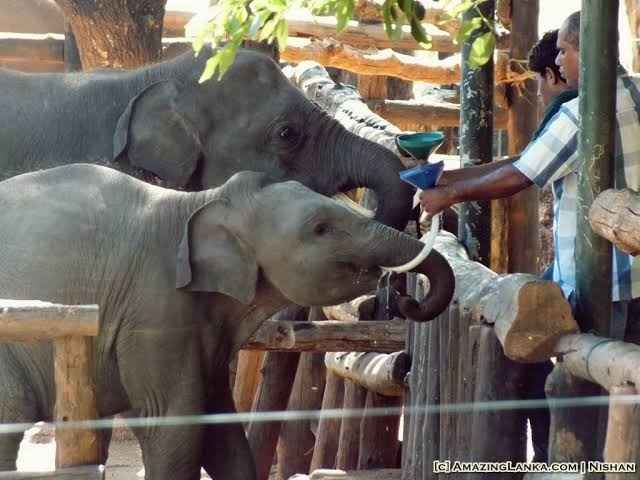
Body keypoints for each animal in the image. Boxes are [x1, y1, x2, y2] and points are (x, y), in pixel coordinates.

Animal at [0, 164, 454, 479]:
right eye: (321, 228)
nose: (406, 300)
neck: (200, 201)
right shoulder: (153, 305)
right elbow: (173, 423)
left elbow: (223, 429)